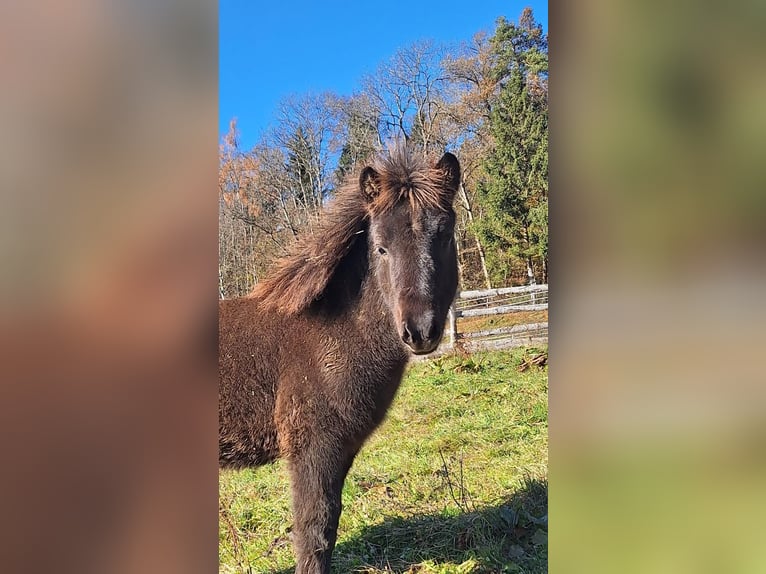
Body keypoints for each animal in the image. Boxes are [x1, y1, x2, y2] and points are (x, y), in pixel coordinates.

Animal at [219, 145, 460, 573]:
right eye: (380, 247)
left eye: (445, 235)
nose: (420, 331)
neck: (330, 337)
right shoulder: (314, 448)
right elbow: (314, 531)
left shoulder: (343, 447)